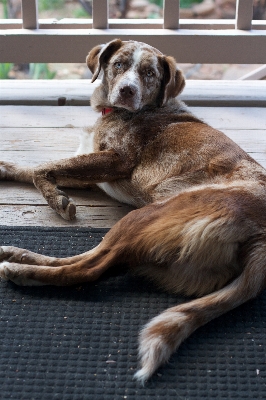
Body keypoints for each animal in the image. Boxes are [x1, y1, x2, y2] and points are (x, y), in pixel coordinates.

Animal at [0, 39, 266, 382]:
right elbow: (36, 167)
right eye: (118, 65)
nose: (127, 90)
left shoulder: (116, 160)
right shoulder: (94, 174)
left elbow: (42, 169)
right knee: (95, 258)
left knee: (89, 268)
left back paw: (20, 270)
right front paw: (6, 170)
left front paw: (55, 199)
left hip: (147, 215)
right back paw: (17, 254)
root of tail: (260, 238)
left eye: (149, 73)